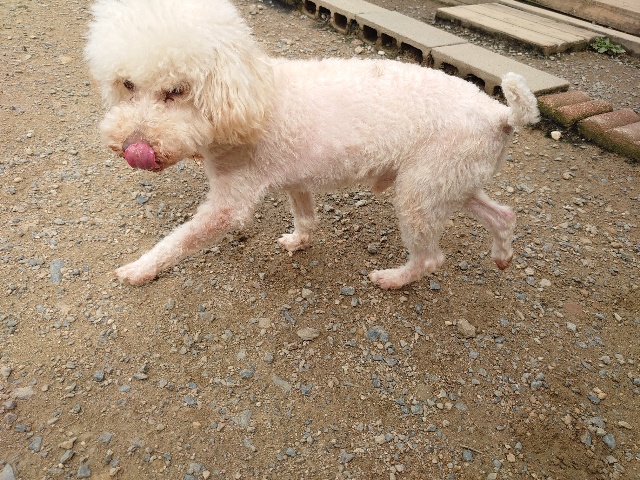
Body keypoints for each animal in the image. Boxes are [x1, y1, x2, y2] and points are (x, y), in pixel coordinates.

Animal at [84, 0, 539, 289]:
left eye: (177, 91)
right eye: (127, 85)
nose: (132, 146)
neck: (251, 95)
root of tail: (499, 114)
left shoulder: (230, 203)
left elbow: (178, 240)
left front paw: (139, 269)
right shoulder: (296, 178)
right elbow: (305, 216)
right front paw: (298, 241)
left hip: (420, 193)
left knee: (430, 258)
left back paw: (394, 279)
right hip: (450, 182)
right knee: (503, 215)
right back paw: (502, 255)